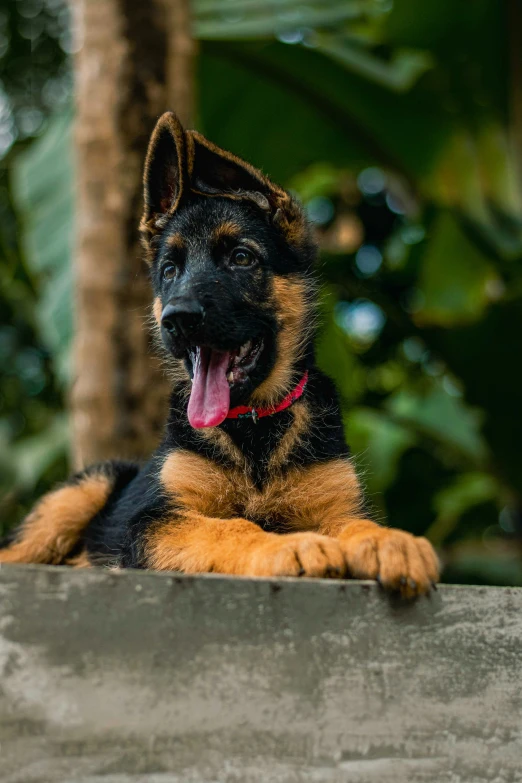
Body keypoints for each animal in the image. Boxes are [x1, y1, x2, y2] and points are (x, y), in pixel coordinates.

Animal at [0, 112, 436, 600]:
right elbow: (230, 527)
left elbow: (356, 523)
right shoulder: (155, 521)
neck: (255, 426)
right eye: (170, 271)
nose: (177, 319)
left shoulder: (334, 505)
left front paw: (393, 541)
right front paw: (289, 546)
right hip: (86, 487)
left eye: (242, 258)